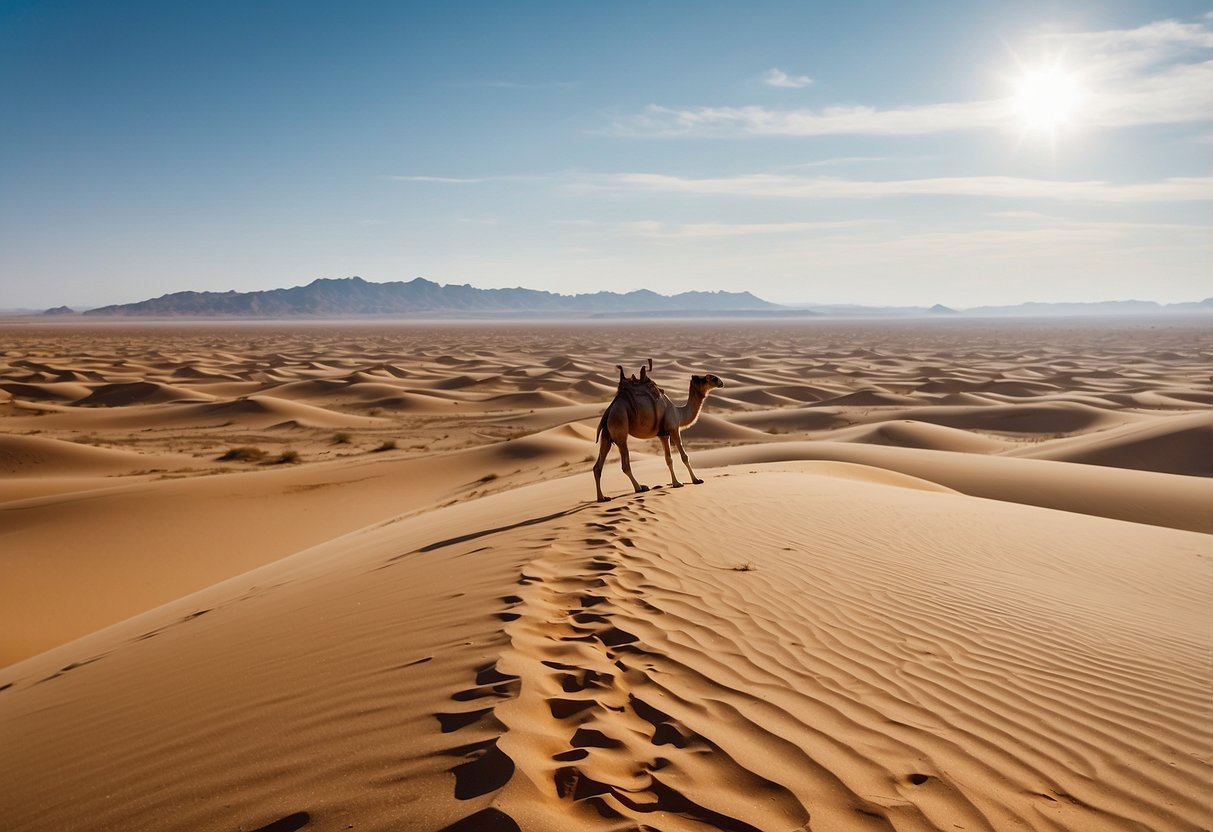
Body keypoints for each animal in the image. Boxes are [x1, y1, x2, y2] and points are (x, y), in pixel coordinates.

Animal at [594, 363, 722, 504]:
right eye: (707, 379)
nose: (721, 382)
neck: (679, 413)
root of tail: (609, 410)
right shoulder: (674, 428)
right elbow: (684, 456)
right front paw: (696, 480)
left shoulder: (663, 435)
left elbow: (668, 459)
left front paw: (676, 483)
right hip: (620, 423)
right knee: (625, 464)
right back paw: (640, 488)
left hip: (606, 434)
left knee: (597, 466)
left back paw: (602, 497)